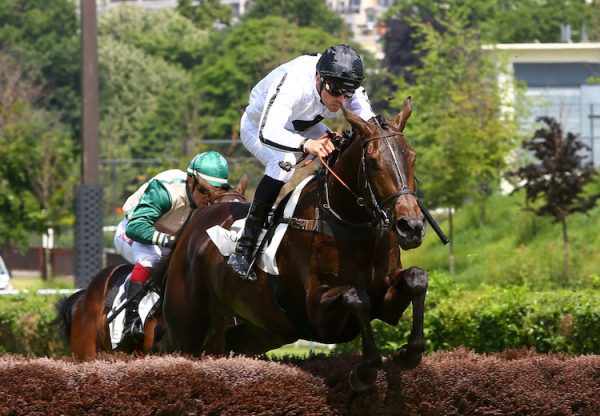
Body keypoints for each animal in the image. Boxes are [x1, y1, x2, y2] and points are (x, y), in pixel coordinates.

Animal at [161, 99, 426, 392]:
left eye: (412, 157)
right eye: (374, 162)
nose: (411, 226)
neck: (351, 226)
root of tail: (196, 222)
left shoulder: (385, 300)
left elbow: (417, 278)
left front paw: (408, 353)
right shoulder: (317, 313)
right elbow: (356, 296)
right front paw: (366, 369)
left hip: (252, 330)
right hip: (186, 329)